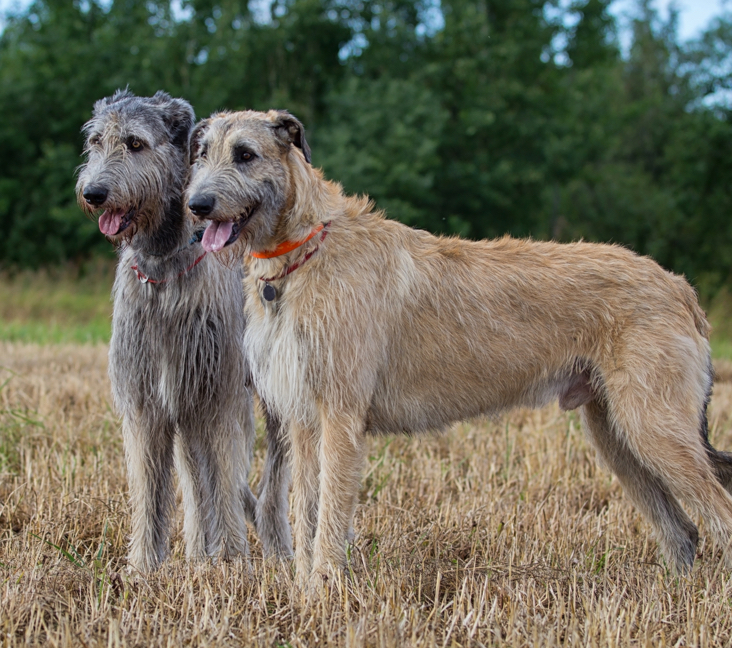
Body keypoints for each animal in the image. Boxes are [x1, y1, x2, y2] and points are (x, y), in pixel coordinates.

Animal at [75, 91, 292, 572]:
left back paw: (279, 546)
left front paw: (232, 561)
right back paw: (197, 551)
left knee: (272, 478)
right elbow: (150, 488)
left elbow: (226, 478)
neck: (162, 269)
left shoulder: (219, 395)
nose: (93, 192)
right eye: (96, 141)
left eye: (135, 143)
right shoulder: (148, 400)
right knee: (196, 481)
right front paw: (143, 567)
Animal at [184, 109, 732, 584]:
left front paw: (324, 590)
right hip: (616, 433)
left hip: (653, 425)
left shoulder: (340, 415)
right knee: (683, 529)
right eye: (202, 153)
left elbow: (332, 511)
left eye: (246, 154)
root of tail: (680, 287)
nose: (197, 206)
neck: (305, 249)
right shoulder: (303, 419)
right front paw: (302, 589)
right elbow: (305, 507)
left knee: (719, 513)